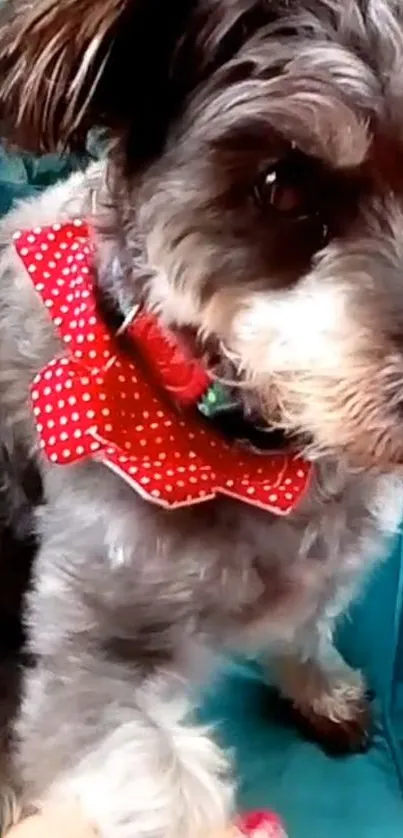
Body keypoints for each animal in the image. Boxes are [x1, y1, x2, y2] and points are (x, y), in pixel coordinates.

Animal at [0, 0, 403, 836]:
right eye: (280, 185)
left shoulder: (337, 551)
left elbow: (308, 621)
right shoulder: (94, 655)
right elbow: (162, 784)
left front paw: (323, 688)